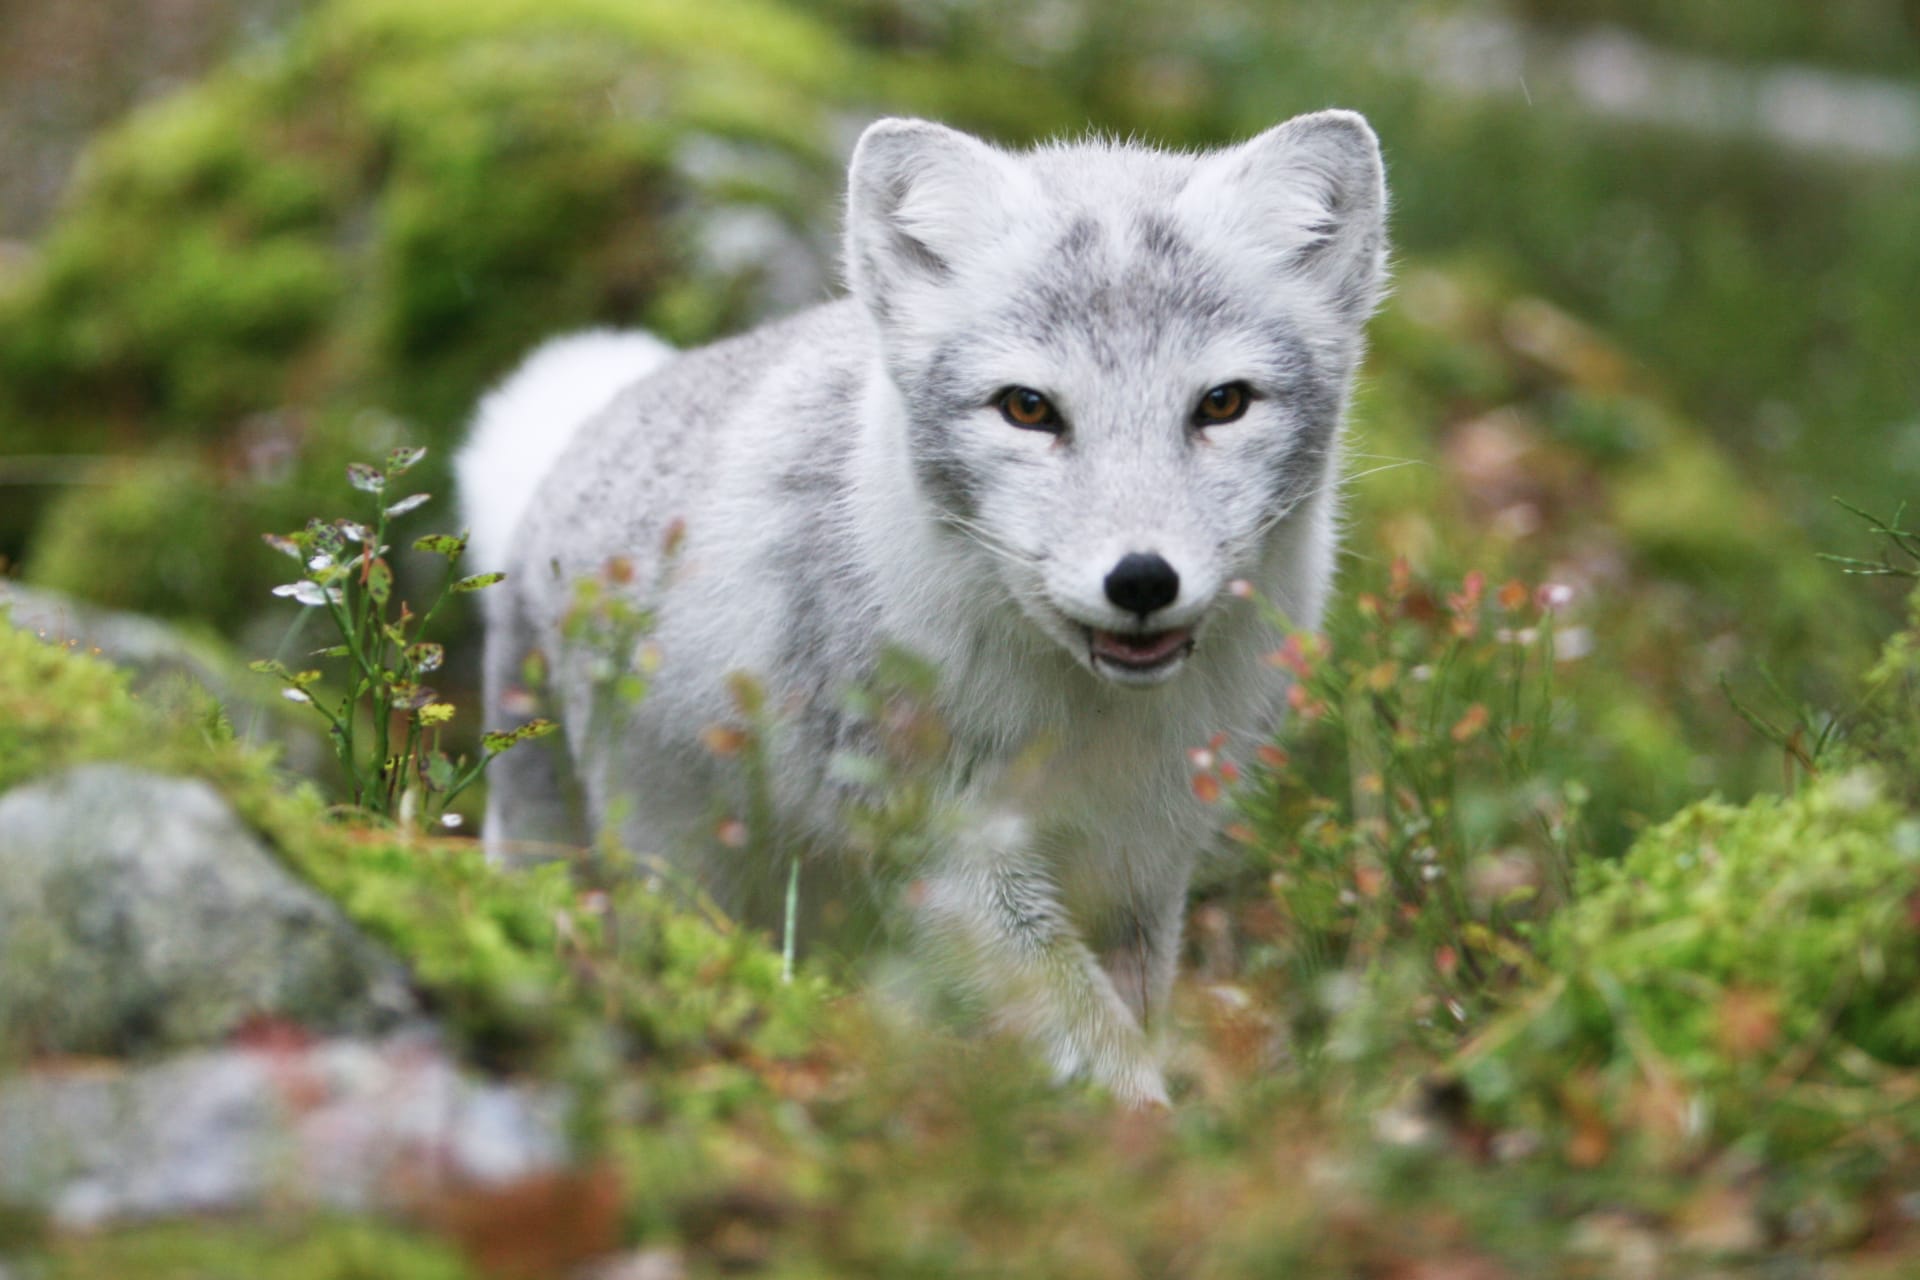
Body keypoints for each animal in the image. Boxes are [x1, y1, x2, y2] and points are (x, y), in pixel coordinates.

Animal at [457, 111, 1389, 1105]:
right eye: (1028, 408)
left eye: (1223, 403)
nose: (1141, 580)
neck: (1089, 722)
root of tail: (573, 446)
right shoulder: (946, 850)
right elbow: (1094, 1042)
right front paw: (1146, 1124)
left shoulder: (1143, 864)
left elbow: (1129, 1015)